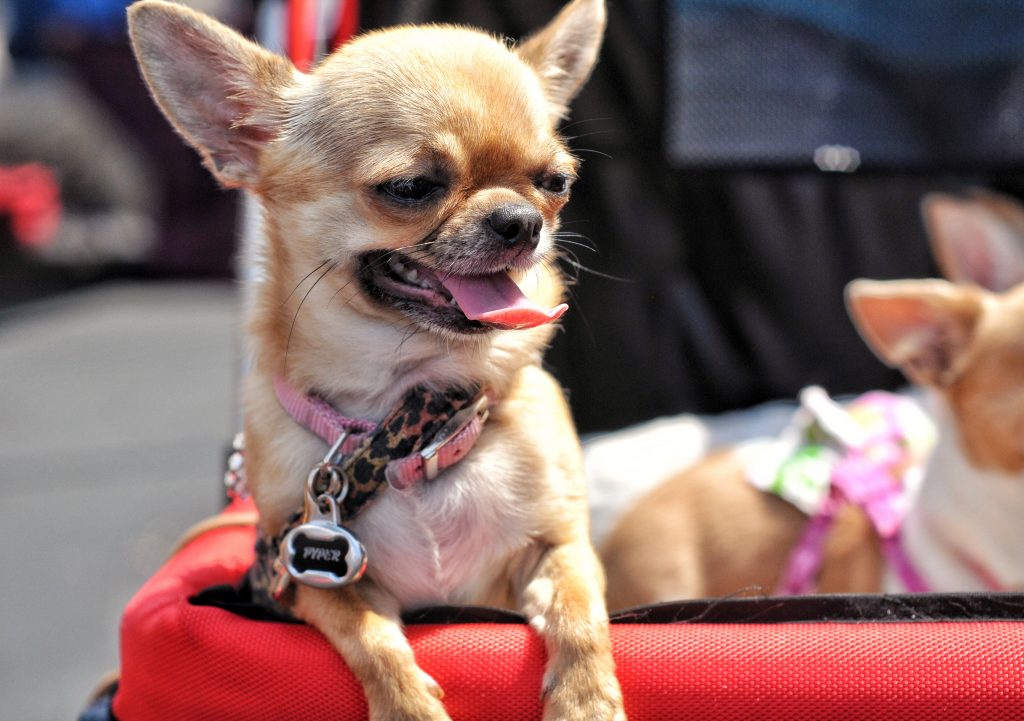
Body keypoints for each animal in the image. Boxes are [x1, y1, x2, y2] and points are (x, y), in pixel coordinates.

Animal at [128, 2, 622, 716]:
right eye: (411, 187)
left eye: (557, 183)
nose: (523, 221)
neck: (408, 421)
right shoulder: (310, 571)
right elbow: (372, 641)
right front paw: (410, 706)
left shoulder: (560, 545)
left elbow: (583, 617)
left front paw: (587, 700)